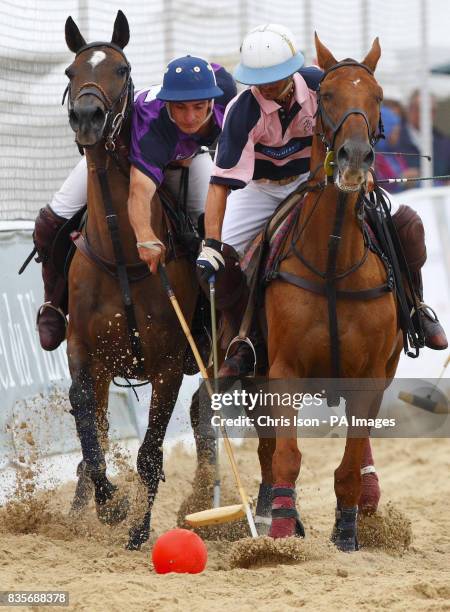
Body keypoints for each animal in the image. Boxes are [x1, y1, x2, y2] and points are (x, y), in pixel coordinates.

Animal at [62, 13, 214, 548]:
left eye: (122, 70)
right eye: (71, 71)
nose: (87, 116)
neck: (121, 254)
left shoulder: (168, 363)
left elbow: (150, 451)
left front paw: (138, 527)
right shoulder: (83, 350)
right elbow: (87, 420)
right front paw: (108, 503)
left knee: (204, 414)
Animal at [258, 33, 402, 548]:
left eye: (378, 96)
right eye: (327, 95)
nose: (355, 158)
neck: (334, 264)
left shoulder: (372, 376)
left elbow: (350, 460)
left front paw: (347, 529)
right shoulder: (282, 370)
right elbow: (286, 455)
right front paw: (281, 528)